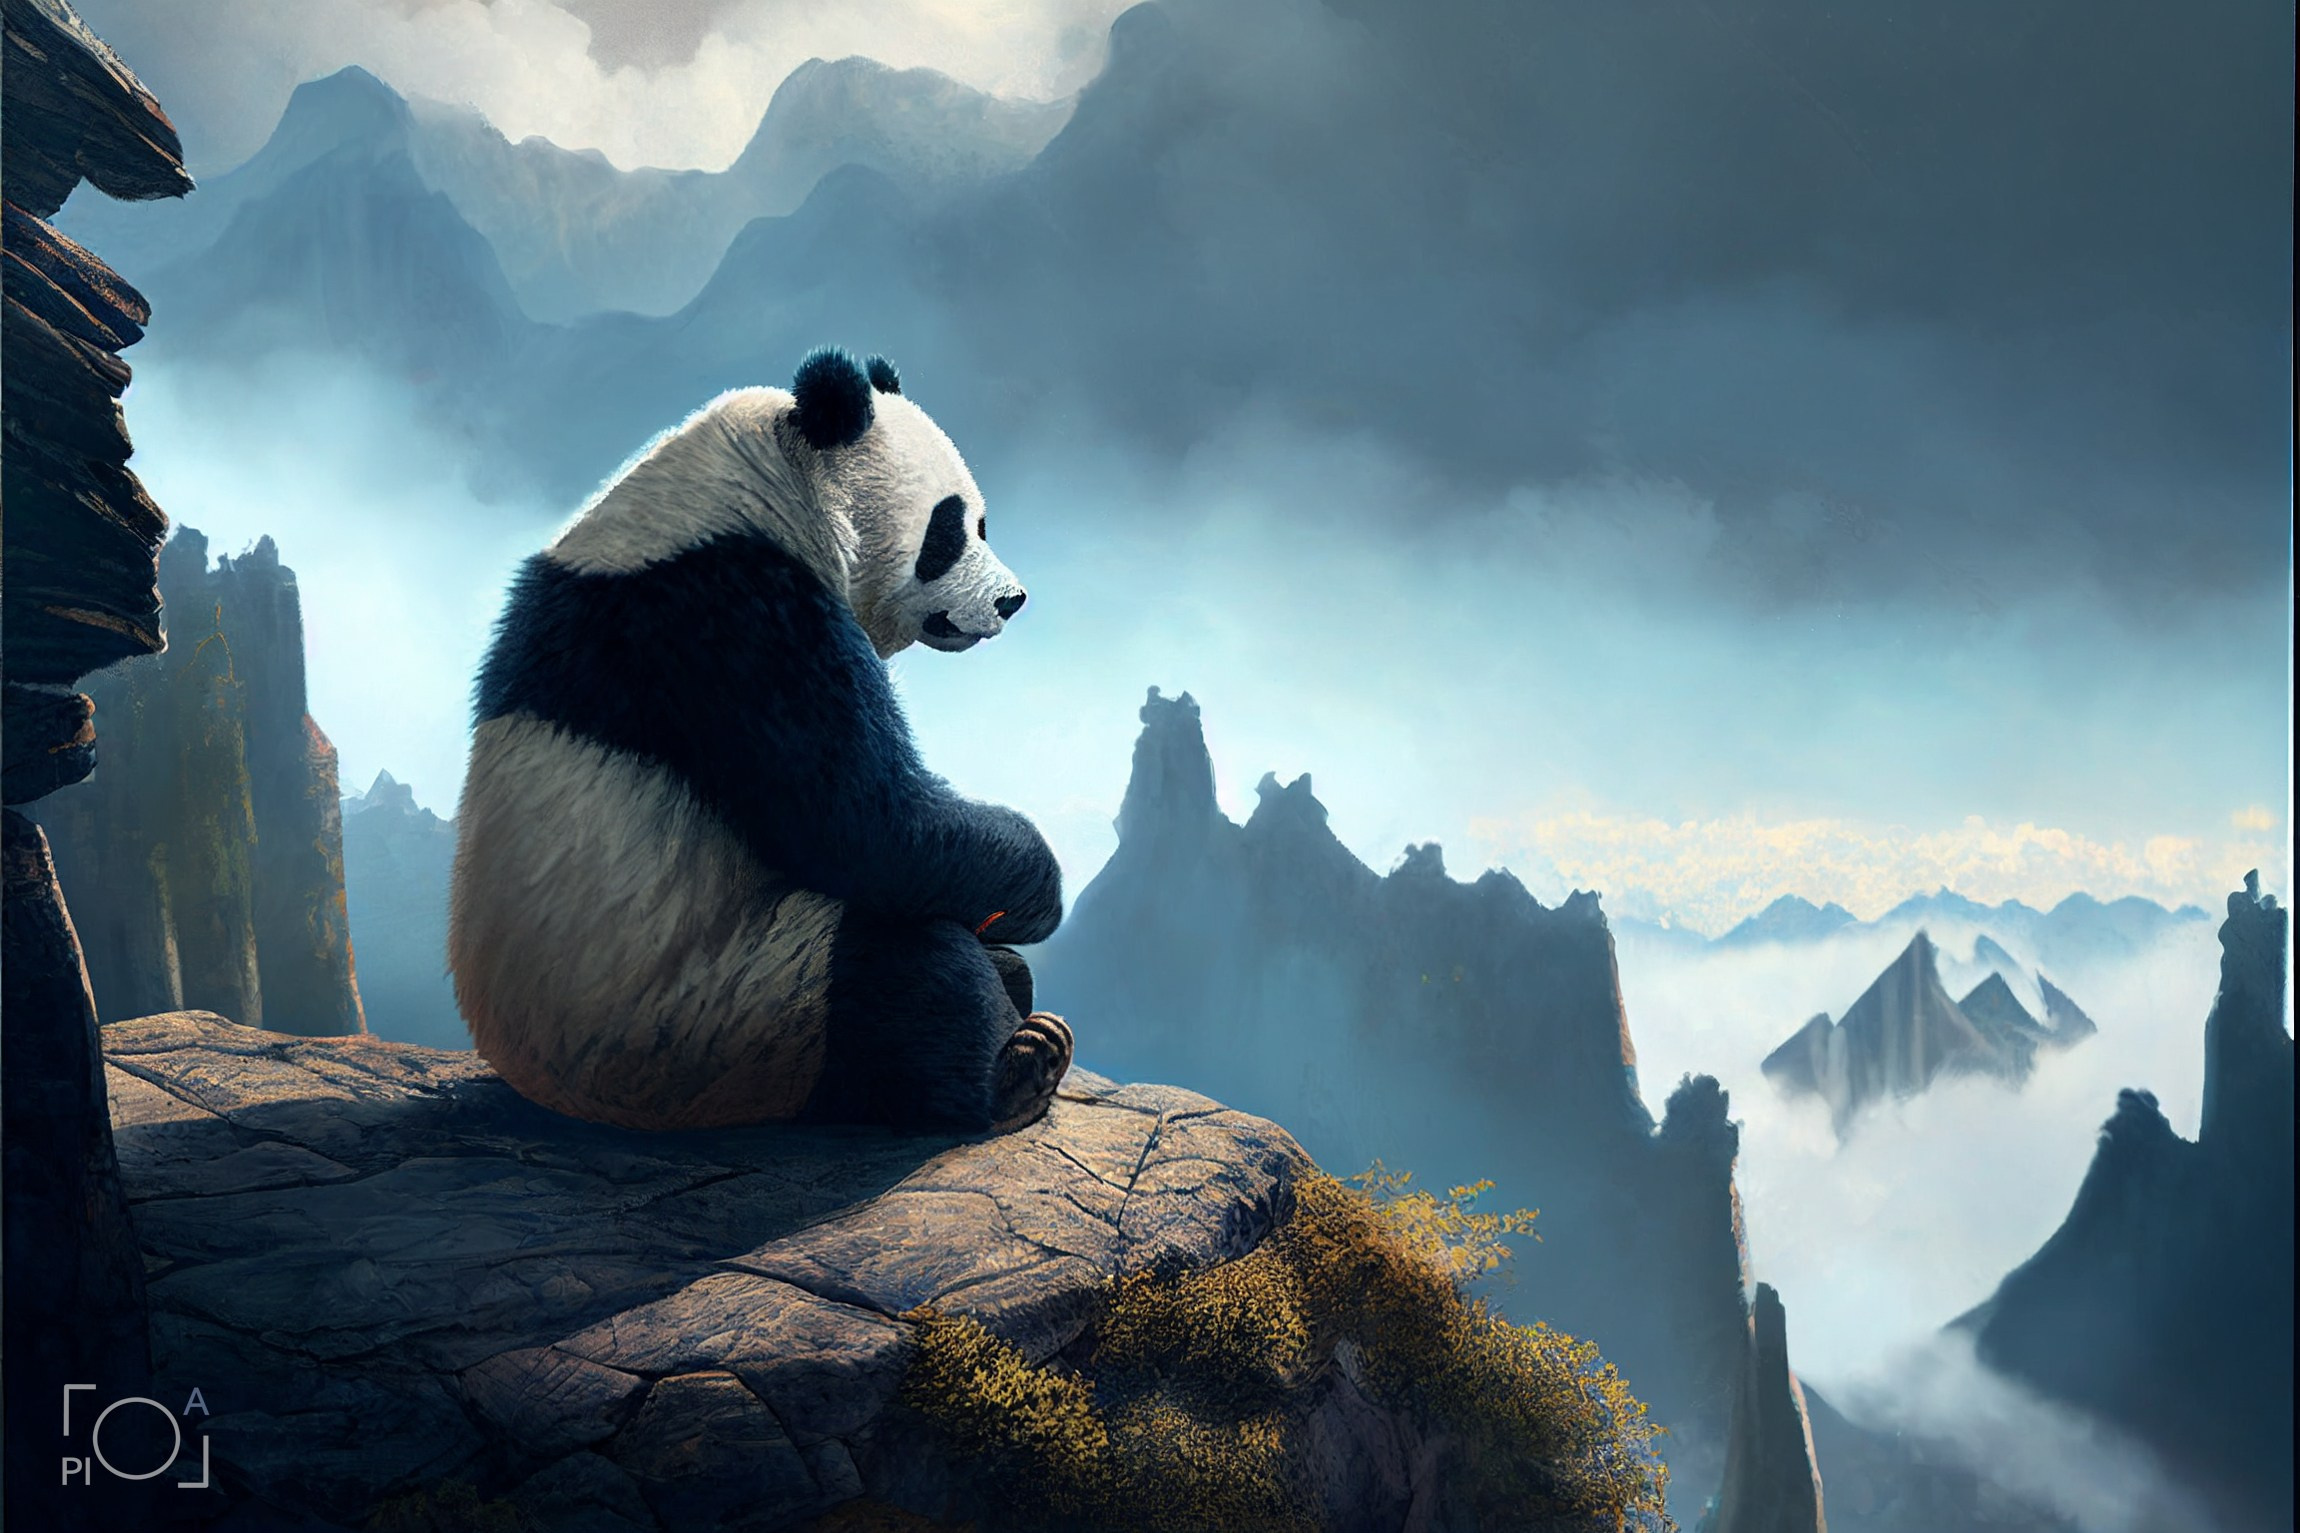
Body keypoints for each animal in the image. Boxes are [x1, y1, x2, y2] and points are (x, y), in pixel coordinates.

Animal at [448, 348, 1073, 1134]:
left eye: (981, 523)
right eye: (947, 532)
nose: (1010, 600)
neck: (762, 486)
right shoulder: (736, 627)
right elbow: (867, 826)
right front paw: (1038, 885)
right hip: (721, 1015)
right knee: (902, 968)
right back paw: (1013, 1074)